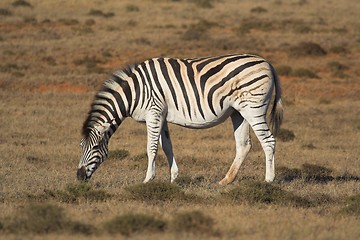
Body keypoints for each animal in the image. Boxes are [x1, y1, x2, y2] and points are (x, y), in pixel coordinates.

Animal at [77, 54, 282, 185]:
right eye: (81, 147)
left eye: (95, 147)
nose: (79, 176)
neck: (134, 93)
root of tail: (267, 63)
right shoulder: (161, 116)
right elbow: (167, 147)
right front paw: (174, 178)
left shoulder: (153, 113)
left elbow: (151, 148)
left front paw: (147, 179)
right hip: (238, 112)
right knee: (244, 145)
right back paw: (226, 180)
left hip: (254, 109)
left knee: (268, 141)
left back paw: (268, 180)